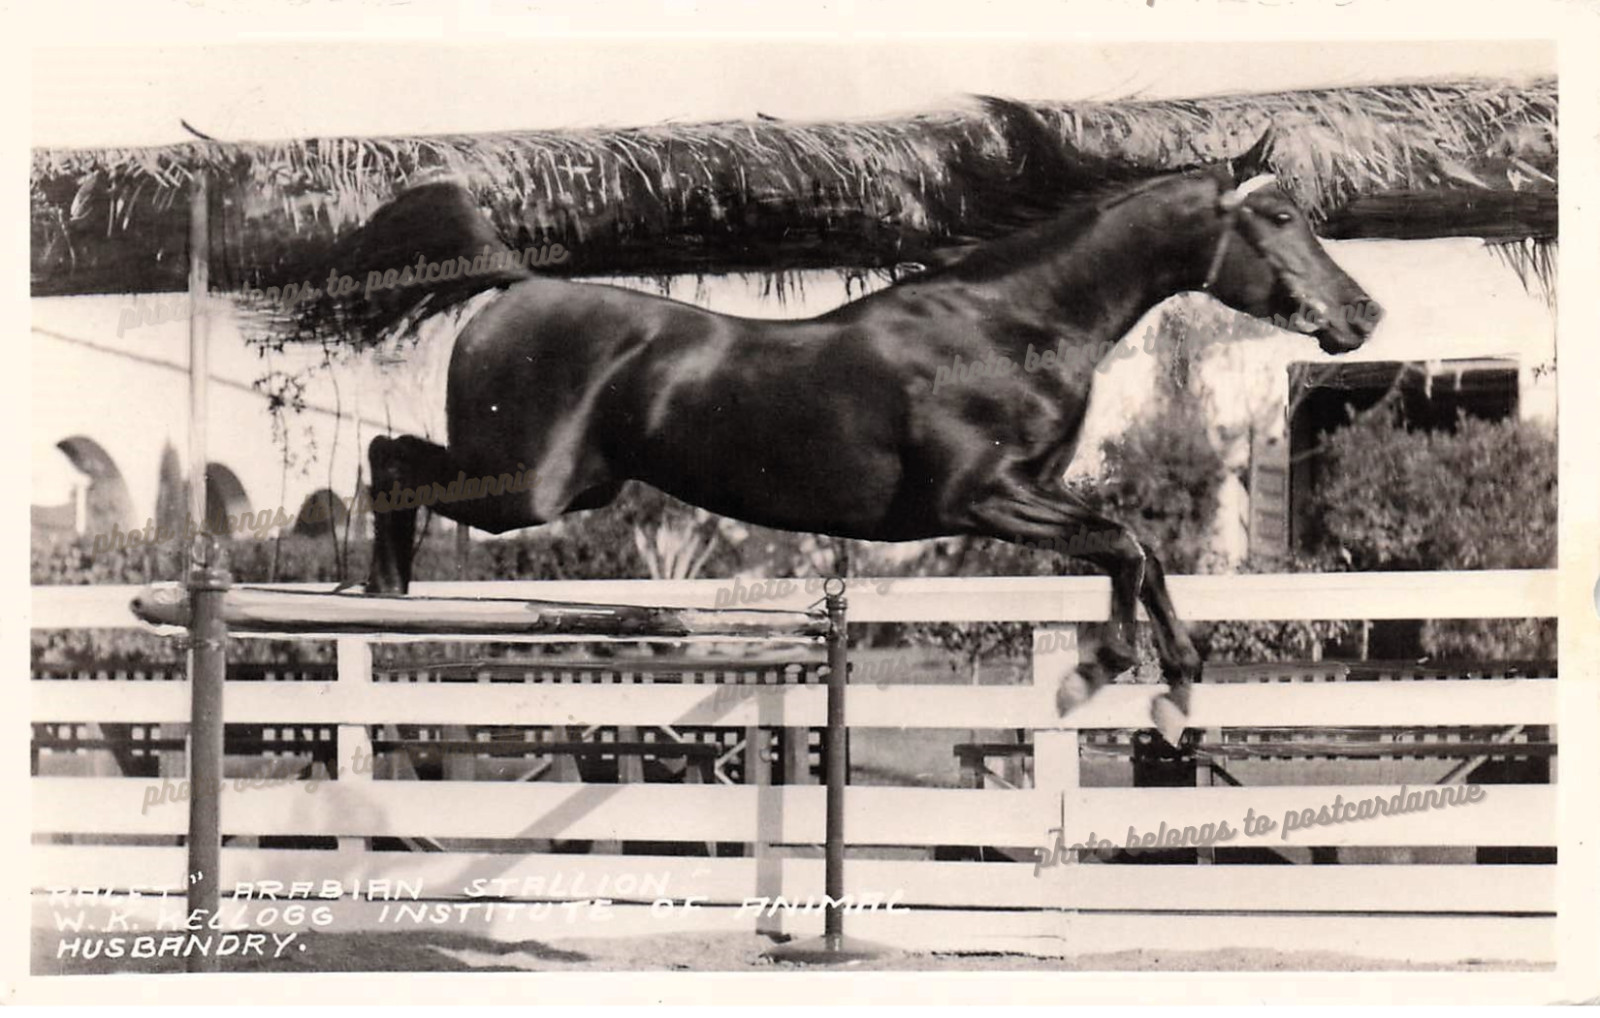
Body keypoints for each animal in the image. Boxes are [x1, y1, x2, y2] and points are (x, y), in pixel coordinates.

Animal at [330, 102, 1382, 744]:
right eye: (1279, 217)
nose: (1362, 315)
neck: (1012, 325)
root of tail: (513, 287)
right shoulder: (979, 500)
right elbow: (1125, 543)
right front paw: (1105, 675)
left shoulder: (1030, 495)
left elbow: (1134, 548)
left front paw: (1169, 687)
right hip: (527, 486)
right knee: (390, 456)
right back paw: (376, 588)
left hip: (577, 486)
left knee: (397, 458)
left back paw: (385, 595)